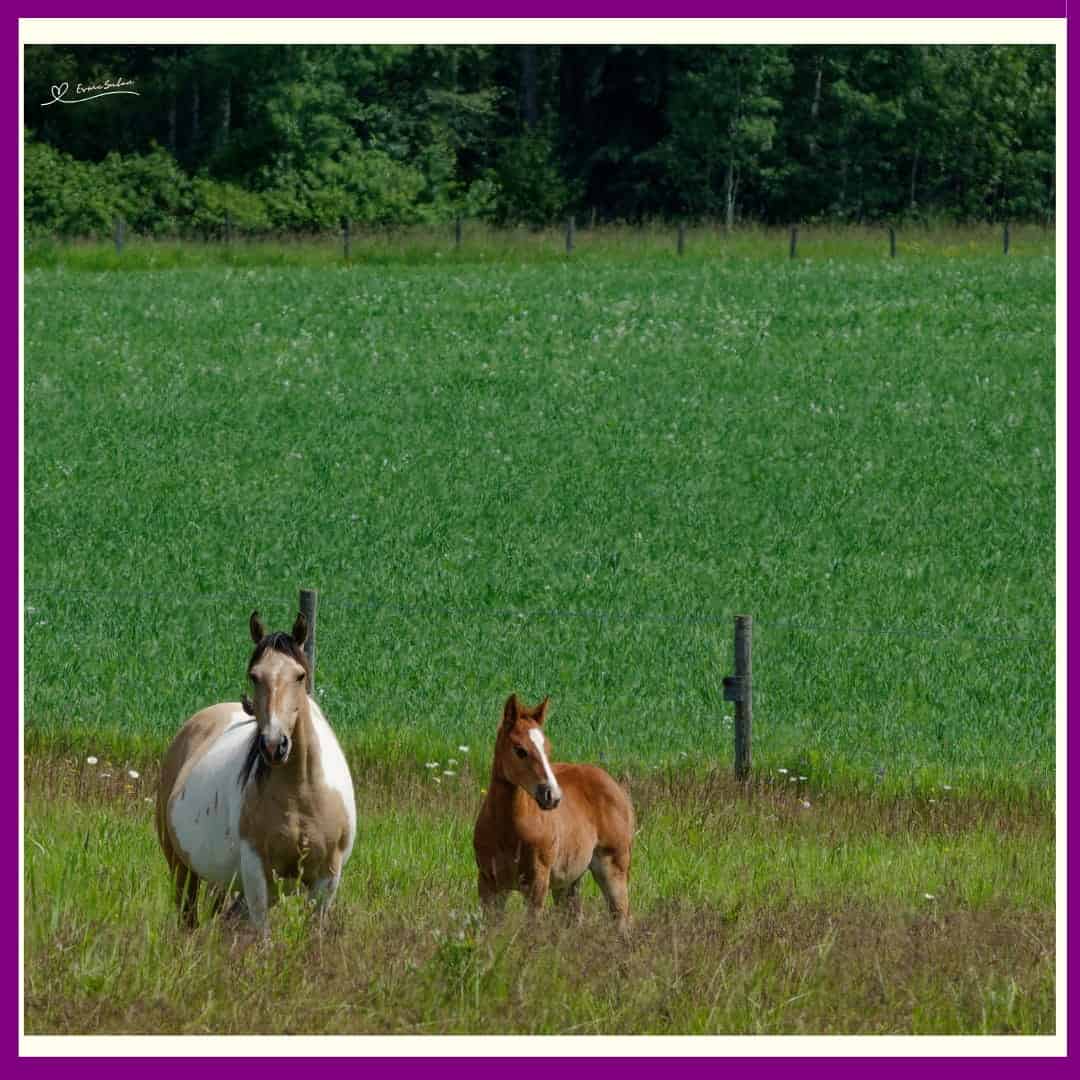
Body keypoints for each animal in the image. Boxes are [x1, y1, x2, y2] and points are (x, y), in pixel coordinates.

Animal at [155, 611, 356, 935]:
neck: (303, 793)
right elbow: (263, 938)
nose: (274, 745)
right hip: (181, 868)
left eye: (300, 675)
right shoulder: (257, 873)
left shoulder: (327, 880)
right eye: (254, 675)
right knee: (188, 918)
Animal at [472, 693, 635, 934]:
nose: (553, 796)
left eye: (547, 749)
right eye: (520, 750)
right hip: (569, 880)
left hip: (613, 867)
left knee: (621, 917)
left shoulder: (537, 884)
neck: (507, 830)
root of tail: (616, 785)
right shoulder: (488, 884)